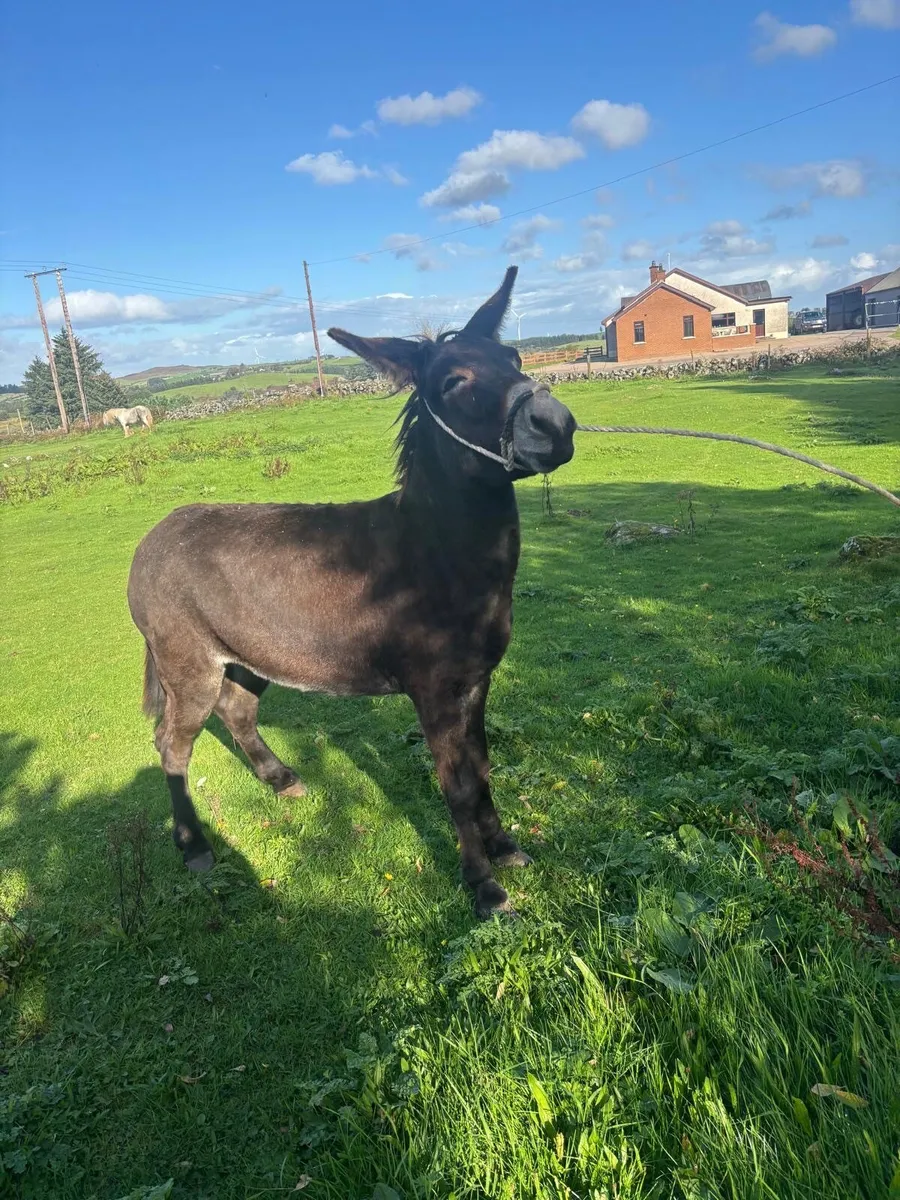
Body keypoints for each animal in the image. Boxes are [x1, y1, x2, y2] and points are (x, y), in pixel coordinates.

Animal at [127, 267, 576, 917]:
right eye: (453, 382)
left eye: (514, 357)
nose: (555, 424)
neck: (438, 553)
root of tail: (149, 539)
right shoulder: (433, 691)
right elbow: (457, 782)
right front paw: (483, 884)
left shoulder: (476, 682)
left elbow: (483, 766)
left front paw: (505, 846)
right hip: (187, 663)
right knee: (172, 744)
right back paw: (194, 846)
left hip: (251, 654)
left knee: (236, 711)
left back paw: (281, 779)